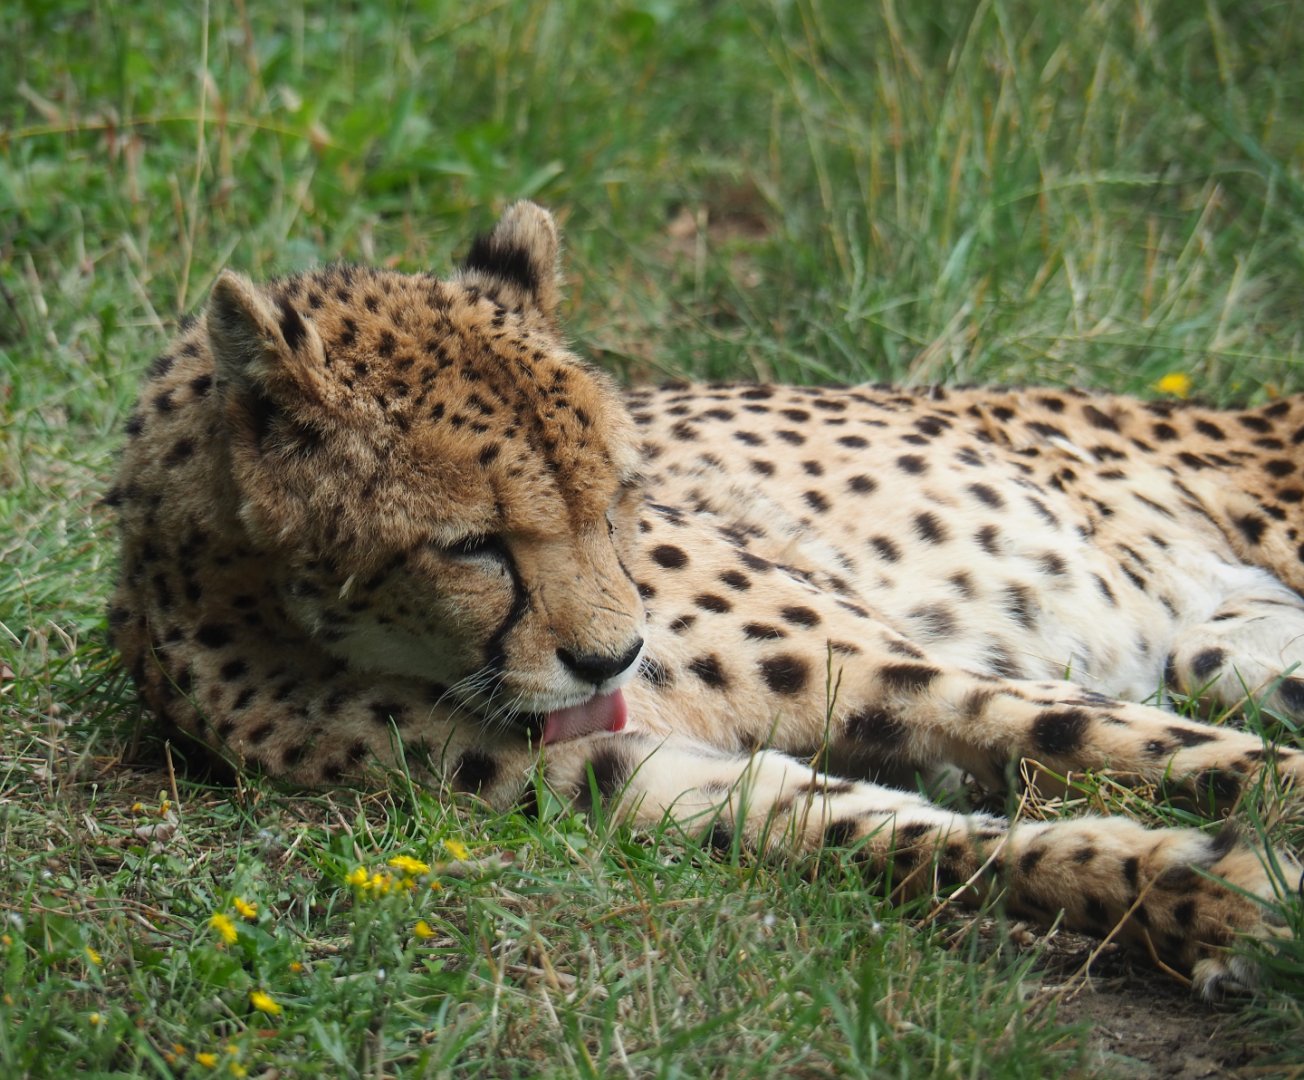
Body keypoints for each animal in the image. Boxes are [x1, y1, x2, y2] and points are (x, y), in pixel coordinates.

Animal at [106, 201, 1304, 998]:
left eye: (614, 497)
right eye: (473, 545)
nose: (611, 658)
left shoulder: (885, 667)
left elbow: (1144, 746)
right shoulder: (625, 780)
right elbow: (899, 835)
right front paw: (1208, 895)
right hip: (1225, 647)